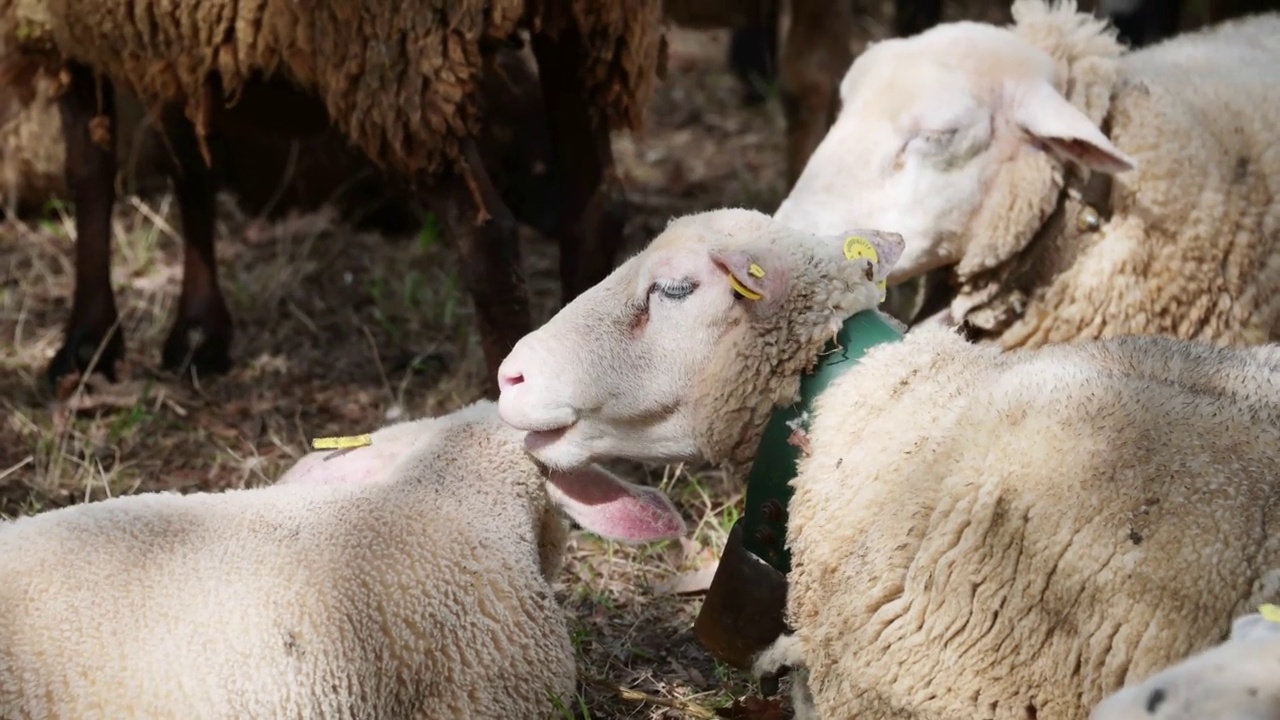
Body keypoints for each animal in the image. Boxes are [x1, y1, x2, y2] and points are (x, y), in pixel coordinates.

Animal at [0, 0, 660, 394]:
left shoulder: (70, 22)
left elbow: (91, 172)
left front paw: (86, 343)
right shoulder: (169, 35)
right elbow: (190, 169)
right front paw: (198, 333)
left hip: (400, 48)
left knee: (488, 236)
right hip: (584, 25)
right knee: (595, 208)